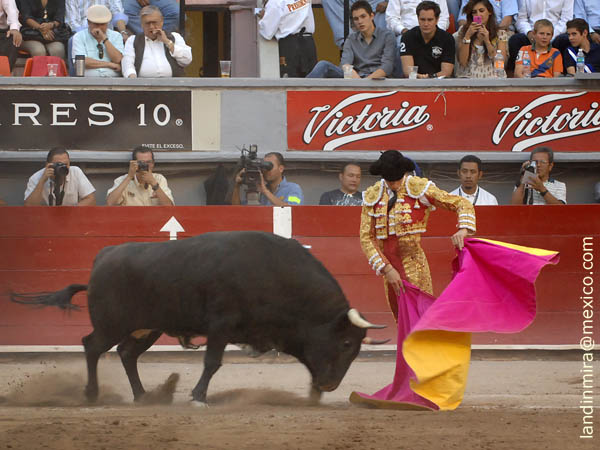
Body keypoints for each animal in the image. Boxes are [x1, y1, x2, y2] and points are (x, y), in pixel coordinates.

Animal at [14, 232, 384, 404]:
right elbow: (212, 362)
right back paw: (91, 394)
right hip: (111, 324)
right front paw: (198, 397)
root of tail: (103, 256)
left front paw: (314, 396)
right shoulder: (221, 325)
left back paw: (143, 396)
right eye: (346, 342)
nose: (331, 385)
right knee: (91, 346)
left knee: (126, 353)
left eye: (356, 348)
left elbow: (308, 363)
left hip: (147, 327)